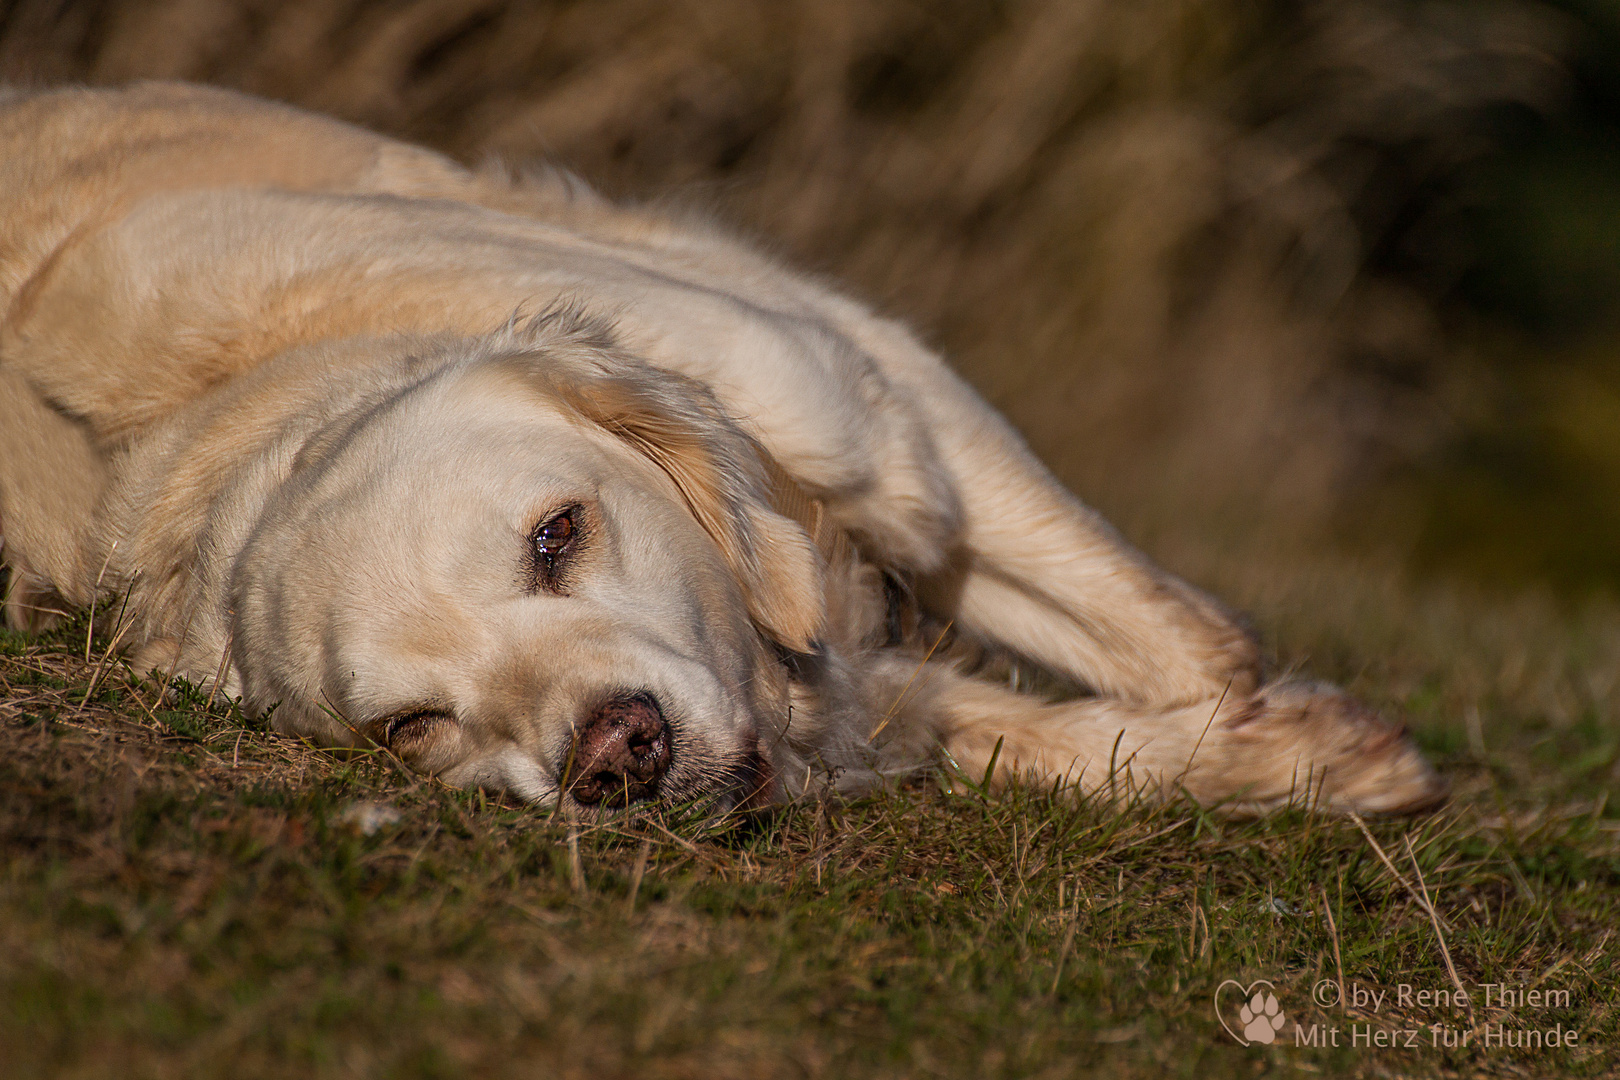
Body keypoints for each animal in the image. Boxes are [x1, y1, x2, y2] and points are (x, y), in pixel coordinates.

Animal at [0, 82, 1445, 809]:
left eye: (557, 535)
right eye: (413, 727)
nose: (613, 754)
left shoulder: (863, 400)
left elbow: (1148, 624)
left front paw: (1270, 722)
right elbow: (1012, 735)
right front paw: (1273, 758)